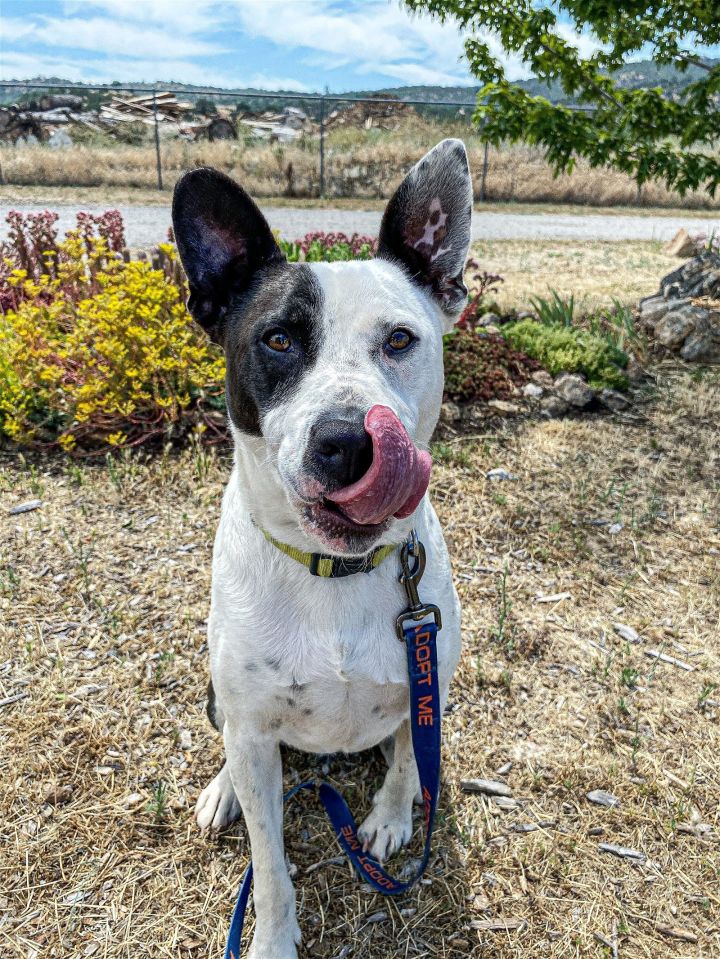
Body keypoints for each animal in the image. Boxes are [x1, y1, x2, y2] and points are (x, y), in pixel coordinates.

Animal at [170, 137, 472, 959]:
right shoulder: (252, 727)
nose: (348, 443)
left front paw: (393, 818)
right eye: (277, 338)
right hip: (224, 702)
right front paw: (273, 938)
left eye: (400, 340)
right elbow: (271, 863)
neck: (333, 571)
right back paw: (222, 792)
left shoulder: (424, 684)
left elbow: (406, 761)